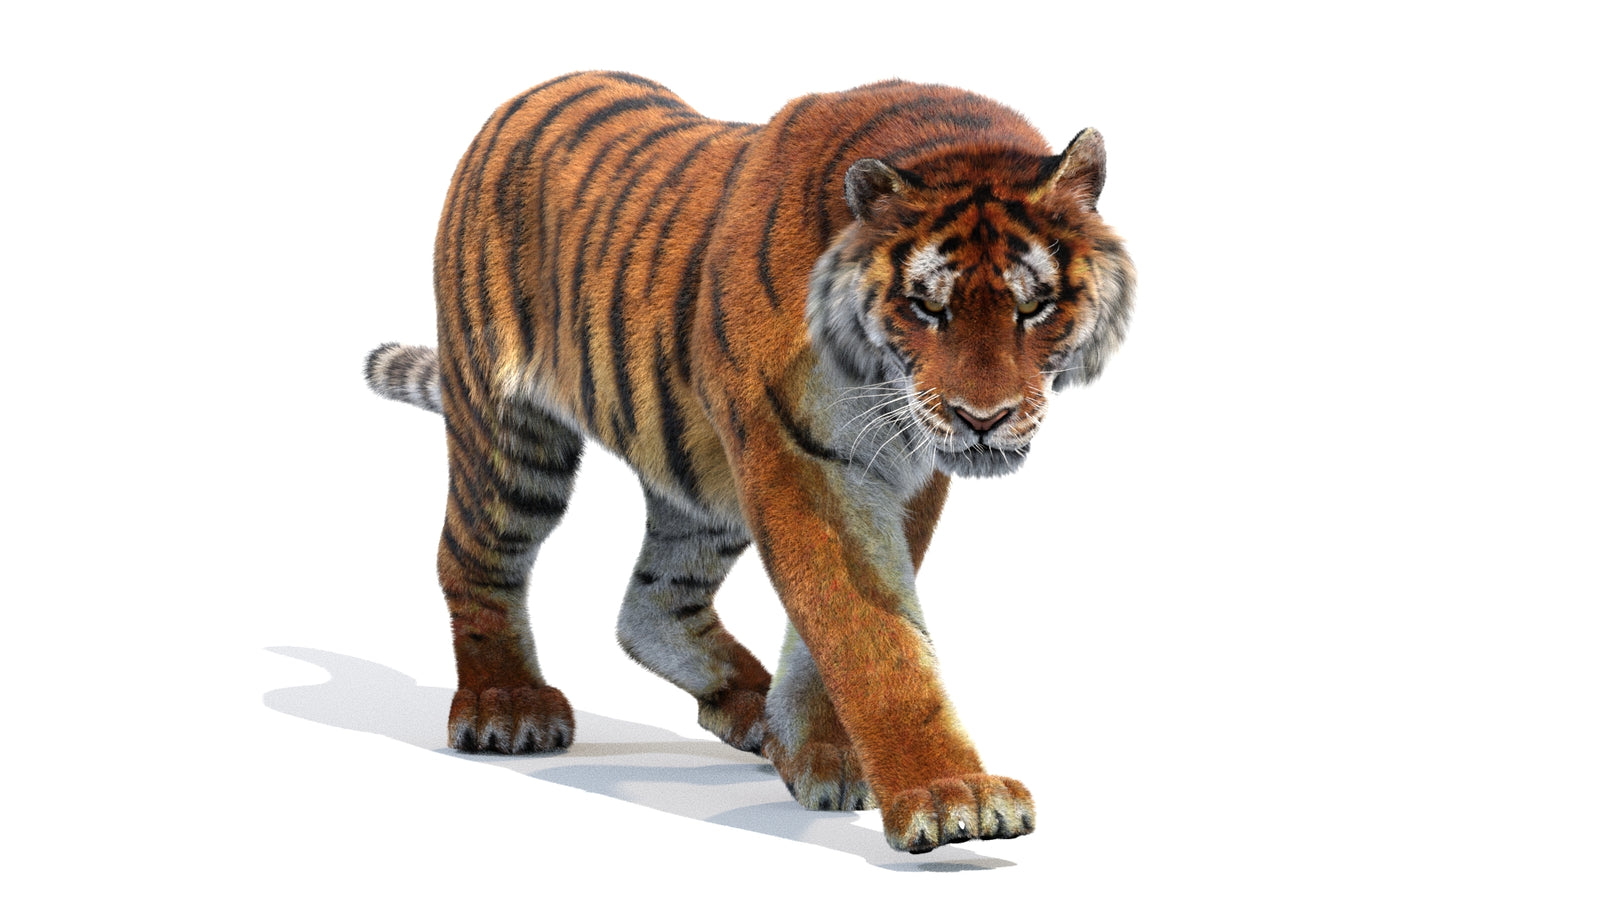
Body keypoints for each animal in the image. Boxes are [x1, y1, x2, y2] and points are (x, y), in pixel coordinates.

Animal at [365, 71, 1133, 854]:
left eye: (1034, 308)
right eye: (927, 307)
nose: (983, 419)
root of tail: (529, 94)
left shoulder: (904, 472)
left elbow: (829, 638)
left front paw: (815, 751)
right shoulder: (803, 458)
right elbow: (873, 637)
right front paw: (950, 796)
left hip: (702, 480)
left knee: (651, 605)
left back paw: (750, 709)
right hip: (512, 440)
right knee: (474, 557)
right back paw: (507, 705)